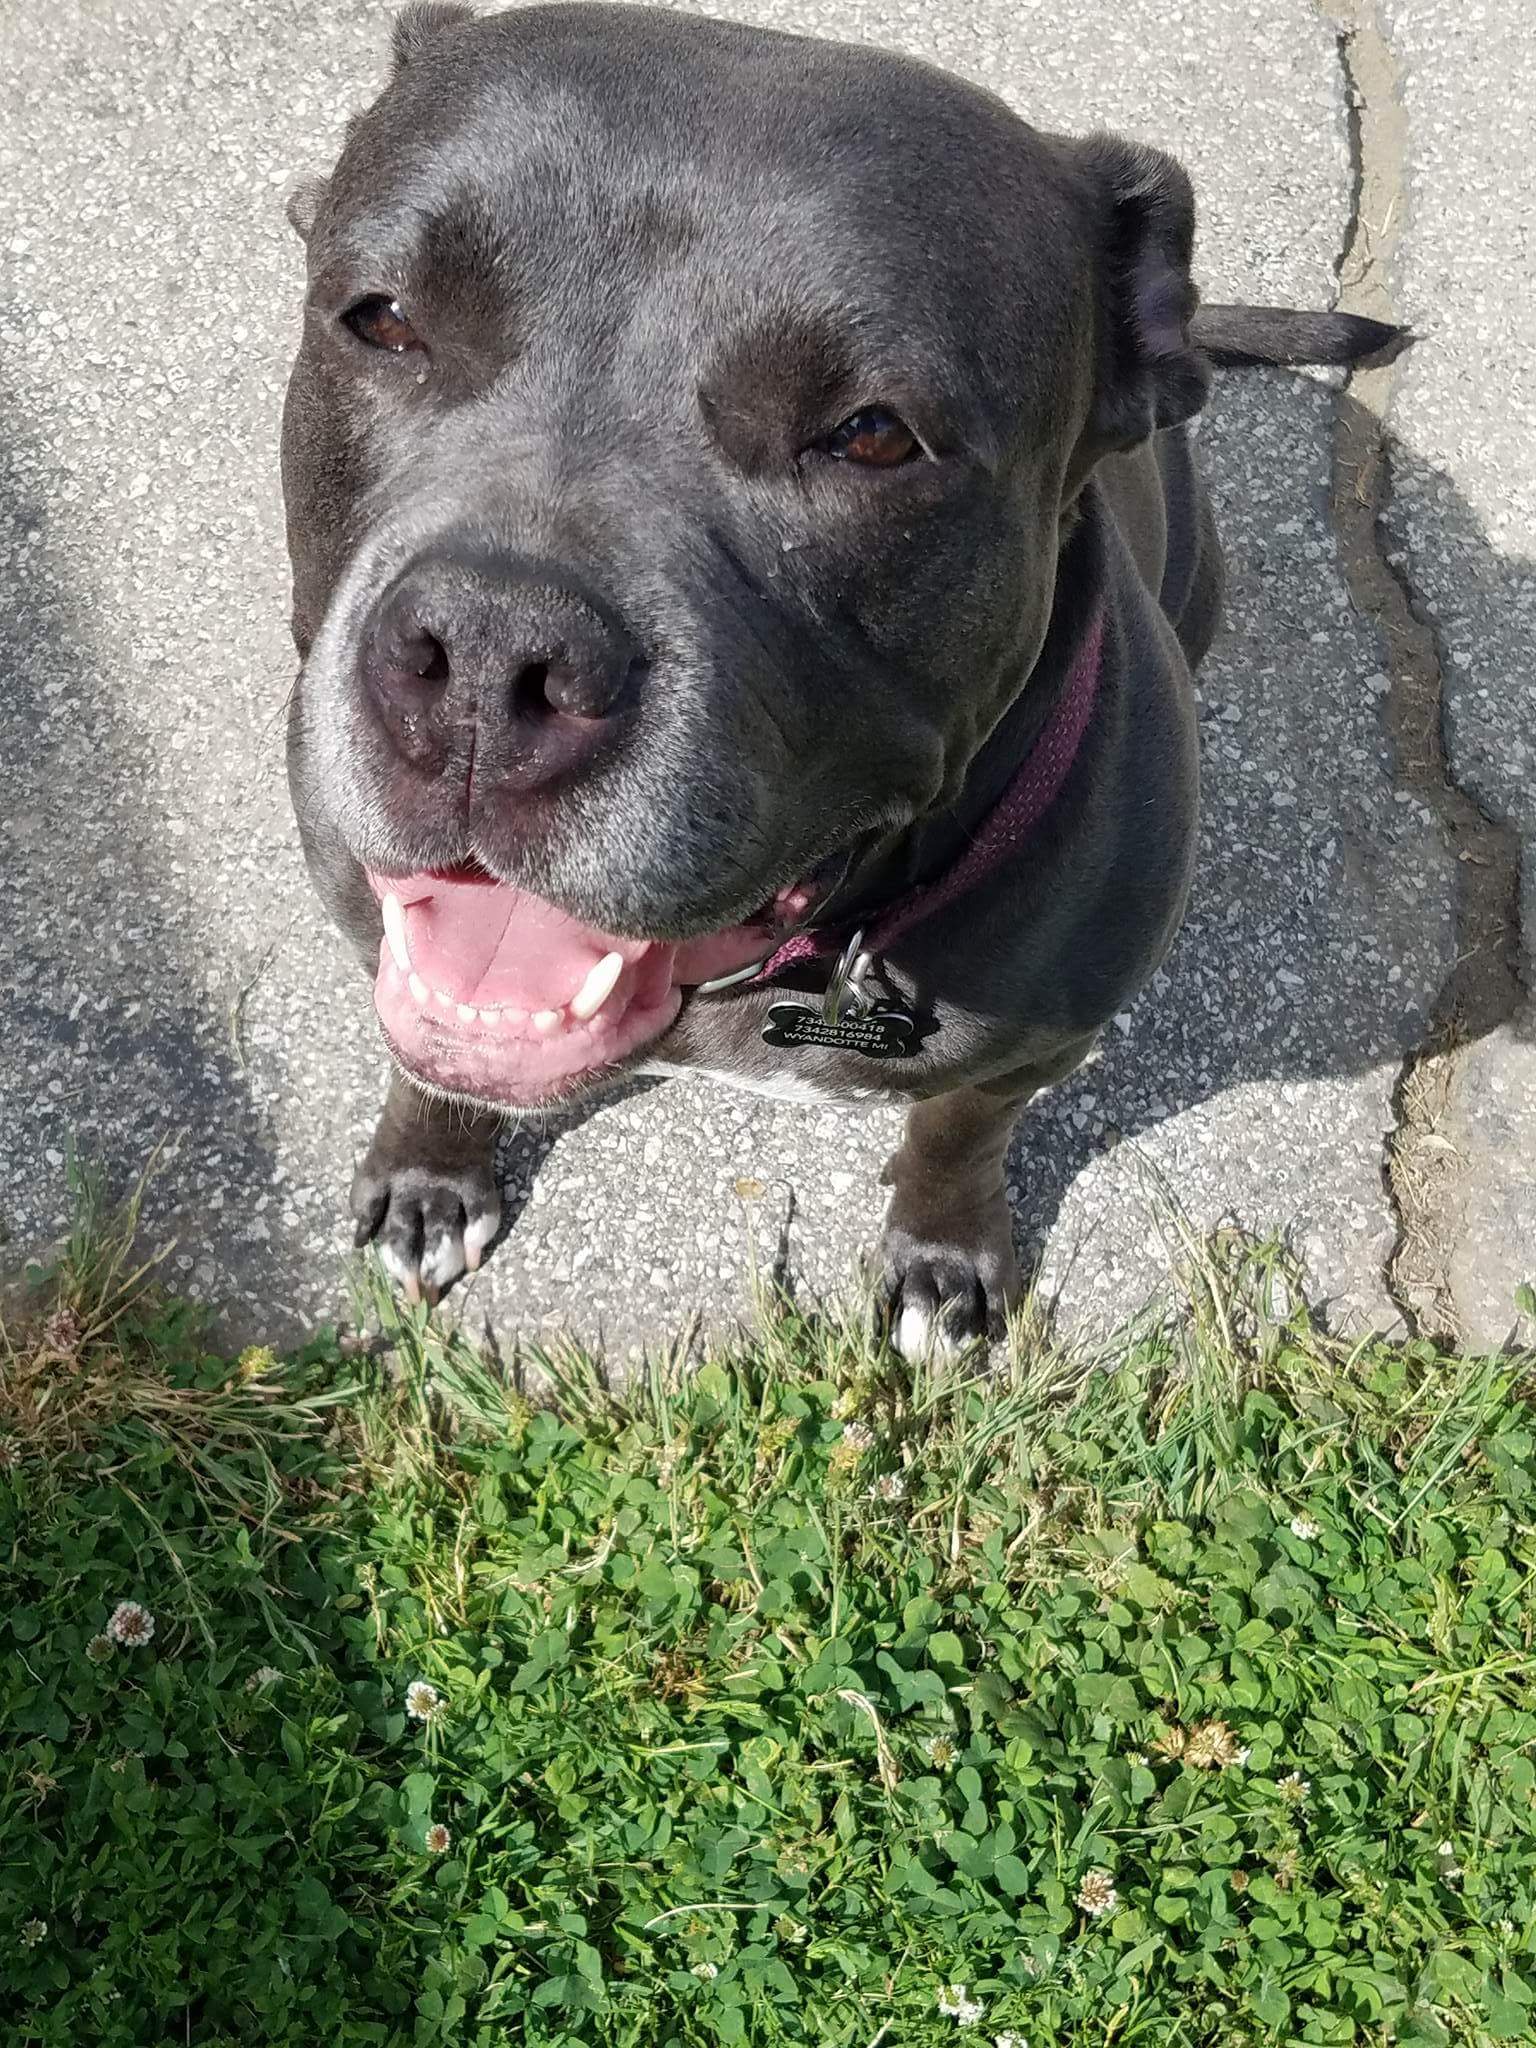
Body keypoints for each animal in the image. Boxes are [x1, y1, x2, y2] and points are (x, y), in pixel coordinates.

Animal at [282, 4, 1400, 1359]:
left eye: (872, 436)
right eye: (384, 320)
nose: (493, 655)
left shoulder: (1036, 1044)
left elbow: (961, 1132)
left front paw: (943, 1255)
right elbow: (424, 1049)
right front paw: (430, 1174)